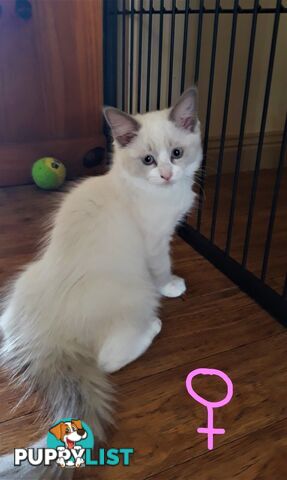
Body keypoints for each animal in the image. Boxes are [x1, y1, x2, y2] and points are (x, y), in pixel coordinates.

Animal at [0, 88, 202, 478]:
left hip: (22, 284)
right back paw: (153, 326)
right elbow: (163, 267)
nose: (167, 174)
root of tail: (48, 338)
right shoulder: (156, 241)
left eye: (177, 154)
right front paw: (172, 285)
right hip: (137, 295)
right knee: (108, 360)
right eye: (148, 160)